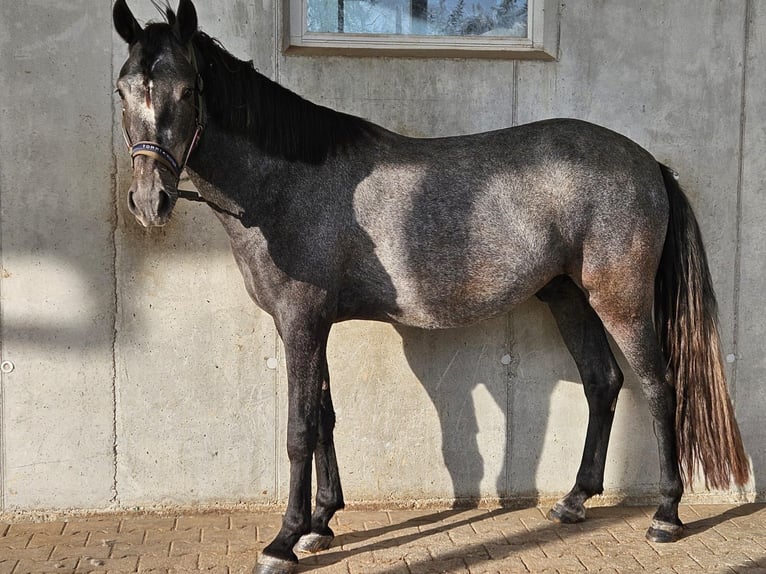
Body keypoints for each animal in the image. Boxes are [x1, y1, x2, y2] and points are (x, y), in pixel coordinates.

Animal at [112, 1, 750, 572]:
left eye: (187, 91)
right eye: (123, 91)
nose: (149, 201)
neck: (286, 184)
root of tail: (649, 164)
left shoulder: (300, 321)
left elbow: (299, 429)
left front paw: (284, 541)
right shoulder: (313, 325)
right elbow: (324, 417)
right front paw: (321, 523)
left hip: (621, 301)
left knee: (659, 386)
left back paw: (666, 514)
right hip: (568, 296)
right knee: (603, 382)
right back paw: (574, 501)